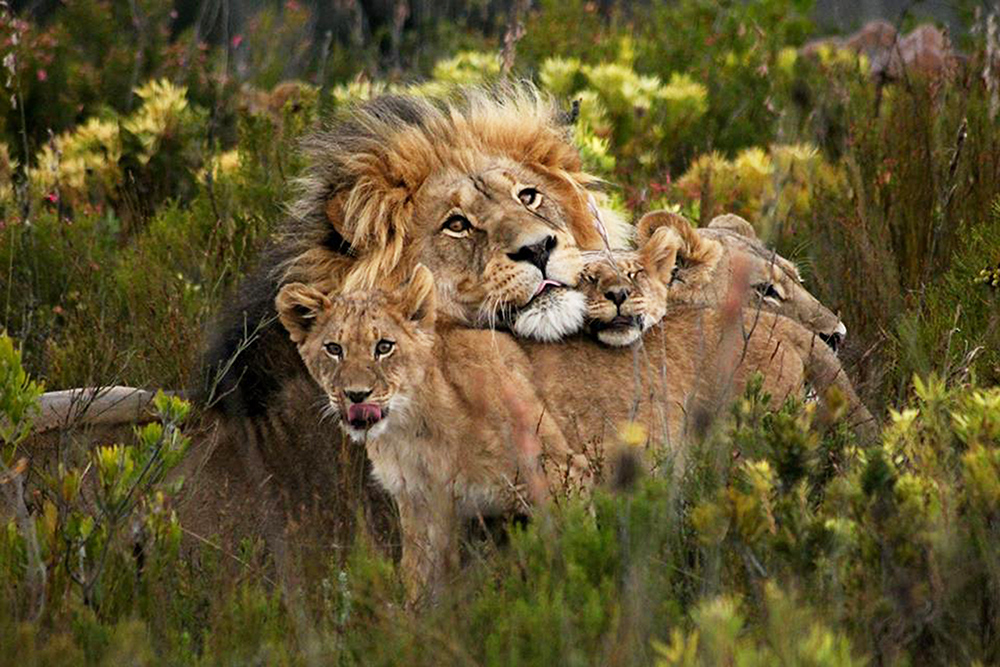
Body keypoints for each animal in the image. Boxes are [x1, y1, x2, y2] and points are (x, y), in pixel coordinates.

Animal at [275, 265, 589, 602]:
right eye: (334, 349)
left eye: (384, 347)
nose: (356, 396)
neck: (411, 430)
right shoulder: (421, 503)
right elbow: (419, 582)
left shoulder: (563, 472)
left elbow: (574, 556)